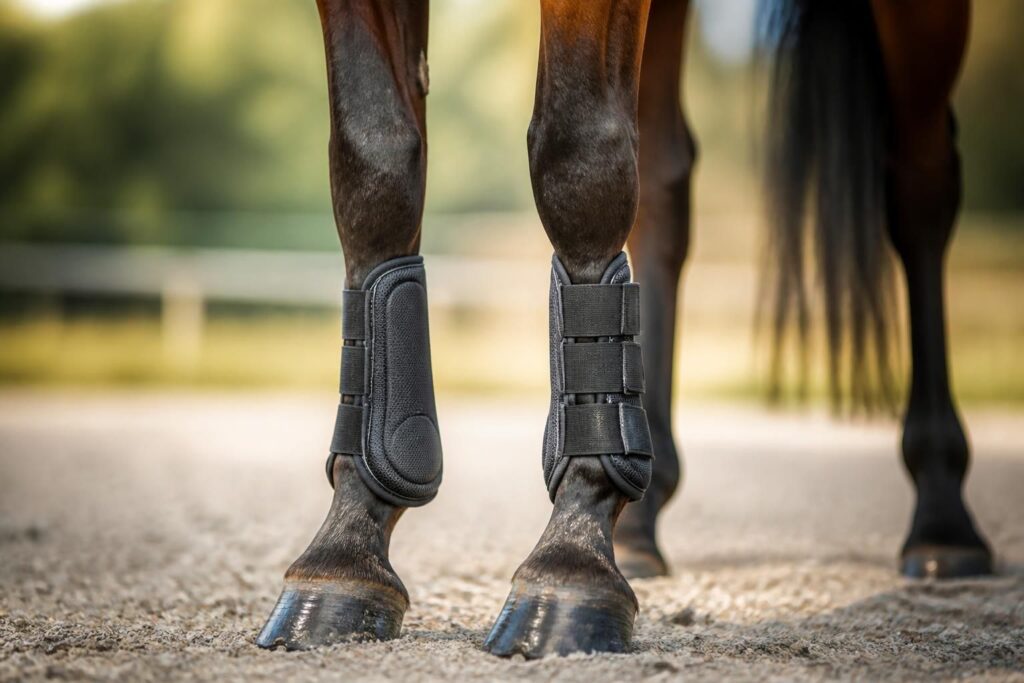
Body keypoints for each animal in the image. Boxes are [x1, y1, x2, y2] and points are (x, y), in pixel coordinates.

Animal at [255, 0, 992, 658]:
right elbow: (374, 167)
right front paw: (343, 554)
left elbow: (578, 156)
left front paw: (571, 559)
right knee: (666, 184)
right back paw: (639, 524)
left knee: (921, 184)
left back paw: (943, 523)